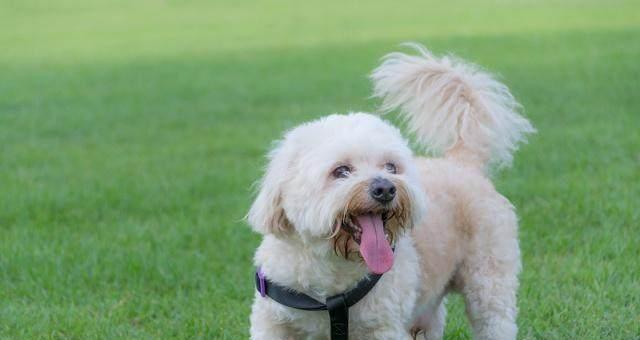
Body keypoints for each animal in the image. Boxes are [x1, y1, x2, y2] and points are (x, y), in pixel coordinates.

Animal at [245, 43, 536, 338]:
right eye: (341, 171)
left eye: (391, 167)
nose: (385, 188)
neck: (332, 283)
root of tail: (462, 163)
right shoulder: (272, 323)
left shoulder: (382, 327)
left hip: (489, 282)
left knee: (495, 319)